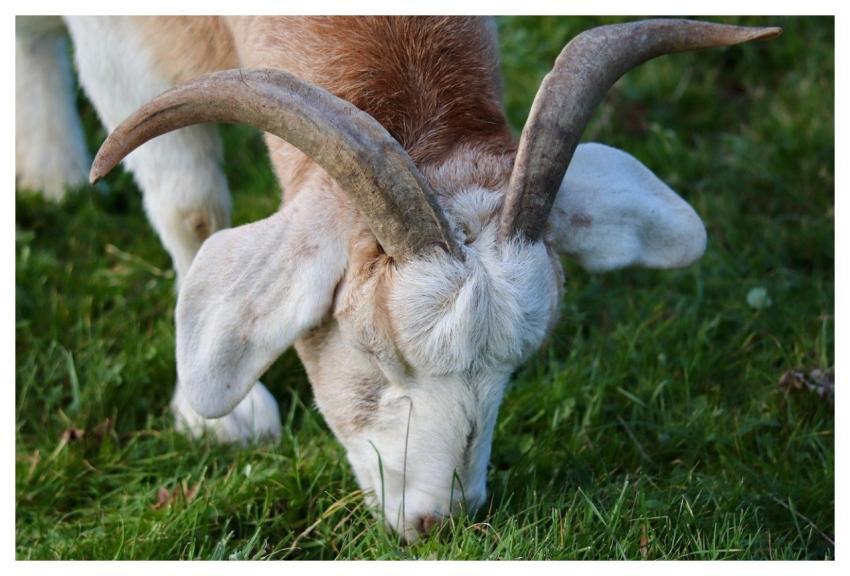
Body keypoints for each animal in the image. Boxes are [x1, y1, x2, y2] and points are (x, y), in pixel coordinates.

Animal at [16, 16, 780, 540]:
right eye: (373, 354)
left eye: (516, 366)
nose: (440, 522)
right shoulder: (122, 48)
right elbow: (191, 207)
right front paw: (227, 418)